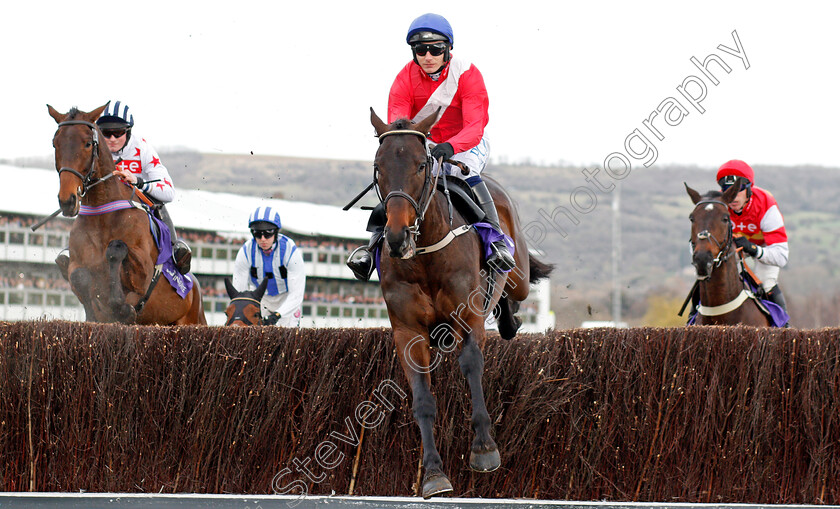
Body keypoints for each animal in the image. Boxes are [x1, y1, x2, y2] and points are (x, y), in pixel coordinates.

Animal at [48, 104, 207, 326]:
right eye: (55, 144)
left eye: (87, 143)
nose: (68, 200)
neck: (102, 217)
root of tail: (196, 289)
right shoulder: (76, 266)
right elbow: (80, 277)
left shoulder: (144, 272)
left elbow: (116, 249)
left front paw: (122, 308)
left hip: (193, 319)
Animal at [370, 108, 556, 496]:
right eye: (379, 167)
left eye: (421, 165)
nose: (396, 236)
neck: (425, 253)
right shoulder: (407, 330)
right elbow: (422, 398)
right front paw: (433, 473)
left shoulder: (467, 316)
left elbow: (471, 364)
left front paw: (484, 449)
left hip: (517, 276)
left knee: (512, 294)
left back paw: (511, 319)